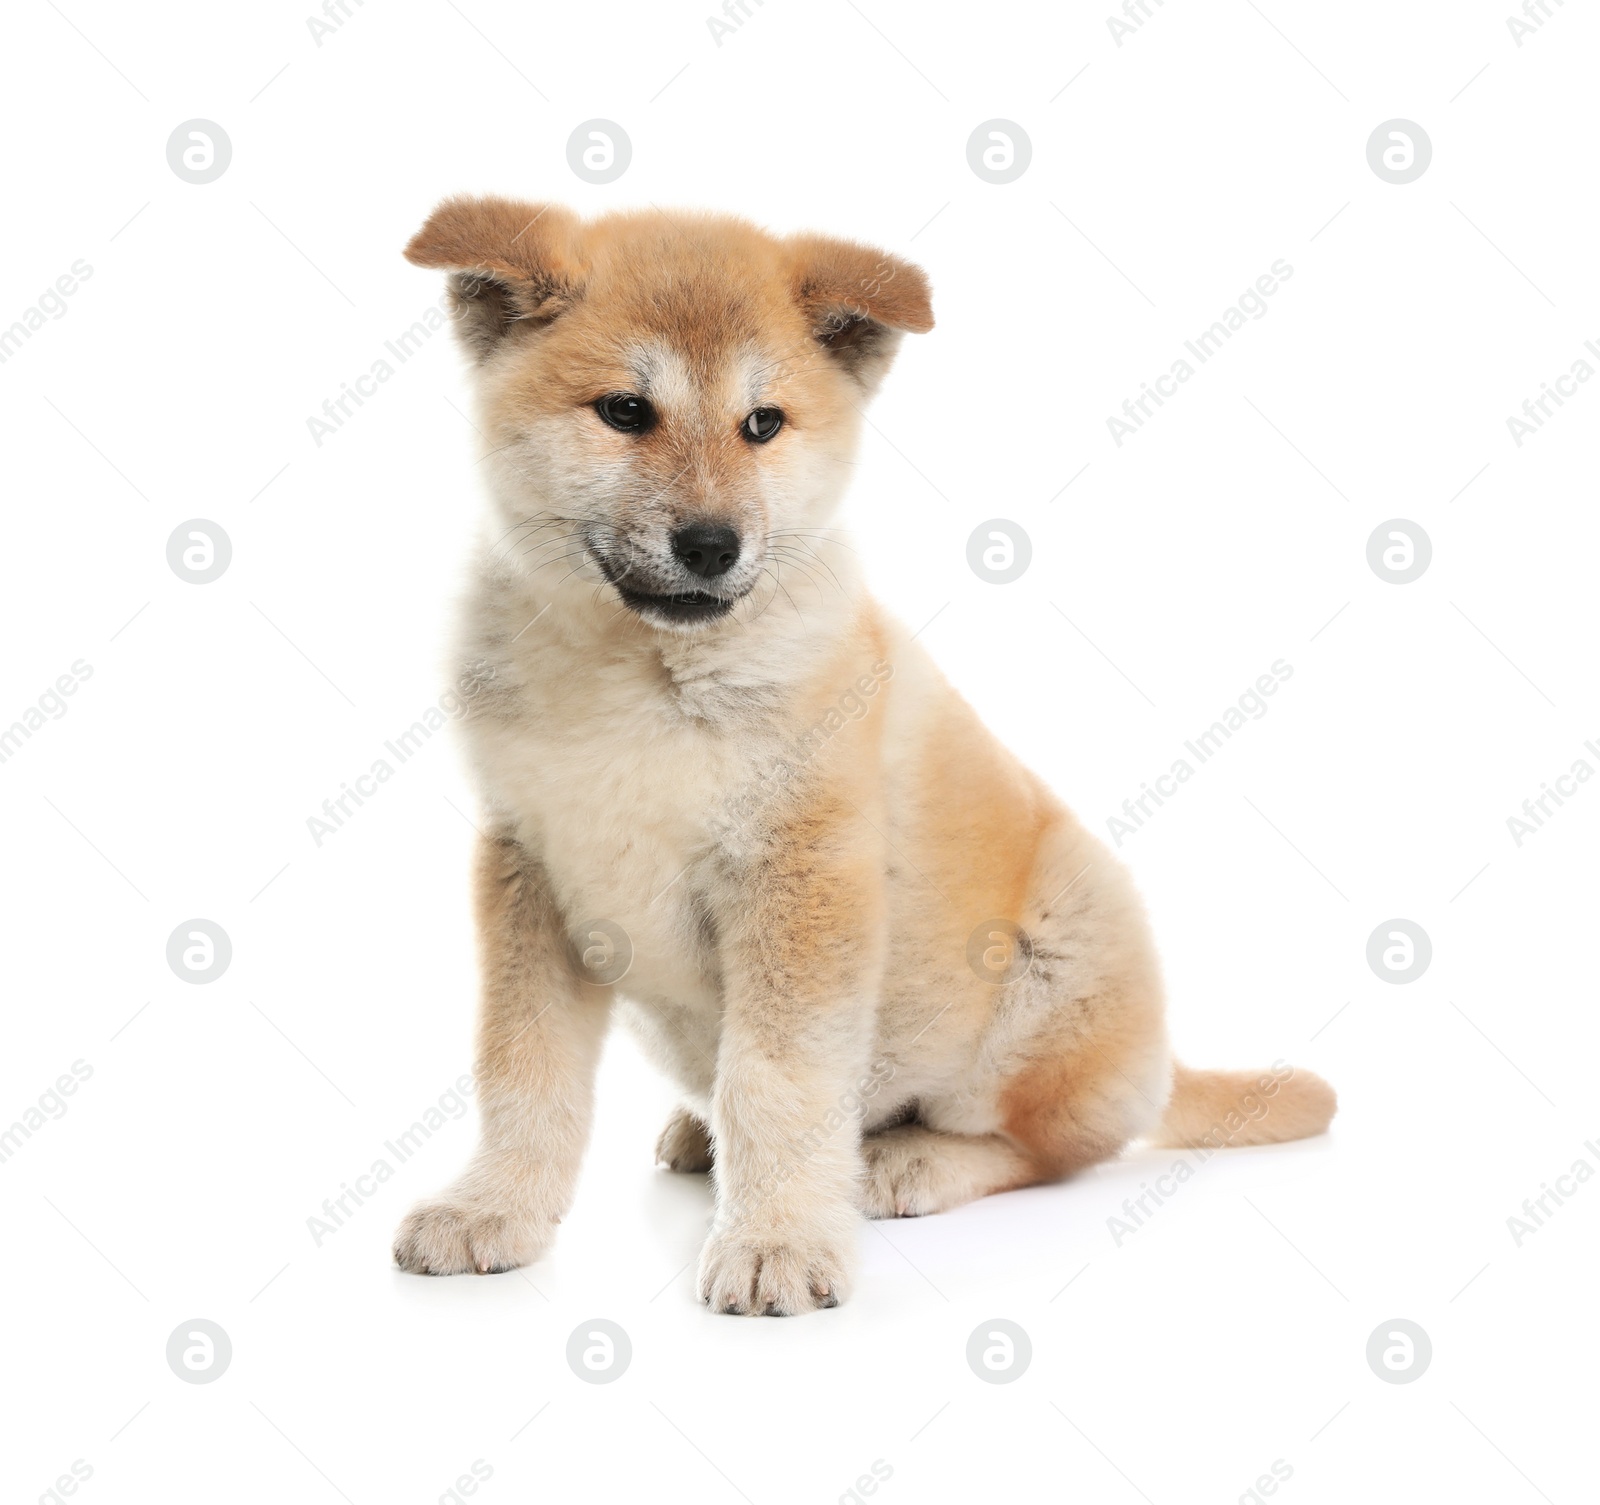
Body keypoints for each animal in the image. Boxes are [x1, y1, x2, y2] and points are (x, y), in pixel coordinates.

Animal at [390, 193, 1337, 1311]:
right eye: (624, 411)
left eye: (763, 424)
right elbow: (522, 1069)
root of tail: (1161, 1059)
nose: (711, 544)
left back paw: (903, 1160)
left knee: (1048, 1148)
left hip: (1062, 939)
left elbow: (775, 1082)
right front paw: (493, 1207)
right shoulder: (531, 871)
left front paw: (779, 1241)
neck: (637, 676)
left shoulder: (800, 880)